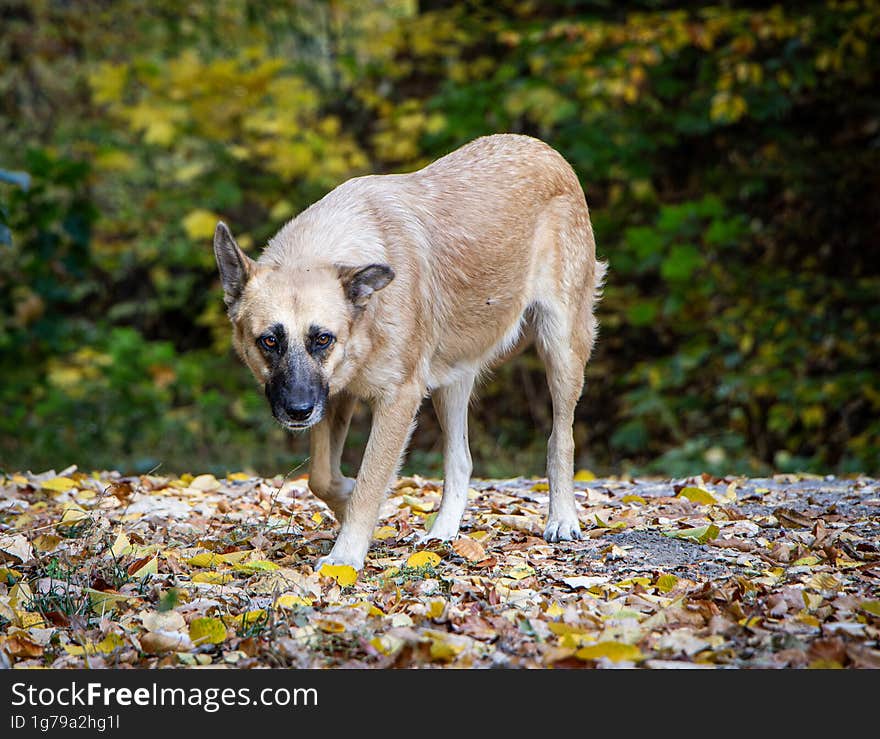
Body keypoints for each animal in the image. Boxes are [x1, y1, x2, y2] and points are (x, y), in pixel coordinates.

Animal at [215, 133, 604, 572]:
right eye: (269, 341)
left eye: (322, 339)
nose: (297, 411)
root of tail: (542, 148)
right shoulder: (335, 395)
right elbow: (322, 478)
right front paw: (346, 503)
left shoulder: (397, 399)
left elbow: (370, 481)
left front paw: (345, 554)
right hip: (451, 384)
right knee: (460, 460)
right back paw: (442, 533)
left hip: (561, 350)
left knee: (560, 439)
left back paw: (562, 519)